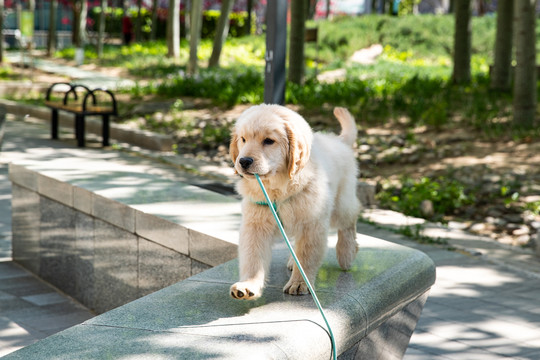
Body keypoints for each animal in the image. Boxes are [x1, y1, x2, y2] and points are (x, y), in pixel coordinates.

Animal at [228, 102, 358, 300]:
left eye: (269, 141)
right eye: (243, 139)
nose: (243, 161)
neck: (278, 189)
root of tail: (339, 141)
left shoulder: (312, 223)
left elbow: (306, 256)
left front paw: (299, 283)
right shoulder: (255, 224)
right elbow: (253, 256)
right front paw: (248, 285)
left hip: (341, 204)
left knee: (350, 220)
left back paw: (347, 253)